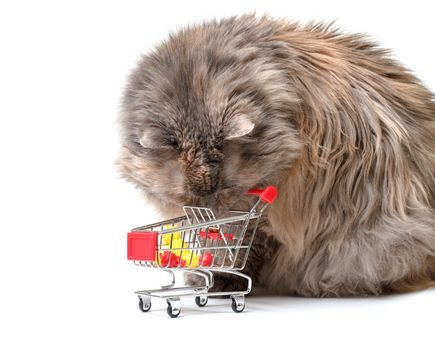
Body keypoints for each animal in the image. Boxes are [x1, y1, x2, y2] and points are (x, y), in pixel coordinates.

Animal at [116, 15, 435, 296]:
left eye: (224, 189)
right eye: (193, 196)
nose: (210, 212)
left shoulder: (263, 212)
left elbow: (244, 251)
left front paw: (224, 281)